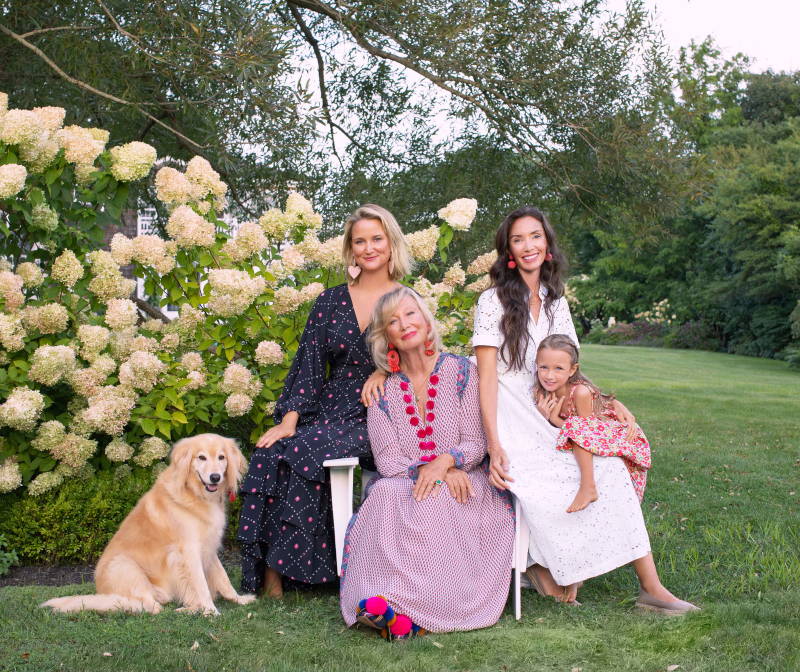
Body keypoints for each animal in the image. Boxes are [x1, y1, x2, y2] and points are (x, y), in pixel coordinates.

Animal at [42, 436, 255, 616]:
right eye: (201, 457)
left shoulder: (208, 547)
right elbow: (201, 585)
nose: (215, 477)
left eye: (221, 457)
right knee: (145, 605)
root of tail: (103, 593)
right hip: (125, 566)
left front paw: (239, 599)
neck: (196, 495)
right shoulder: (188, 551)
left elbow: (223, 577)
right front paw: (210, 610)